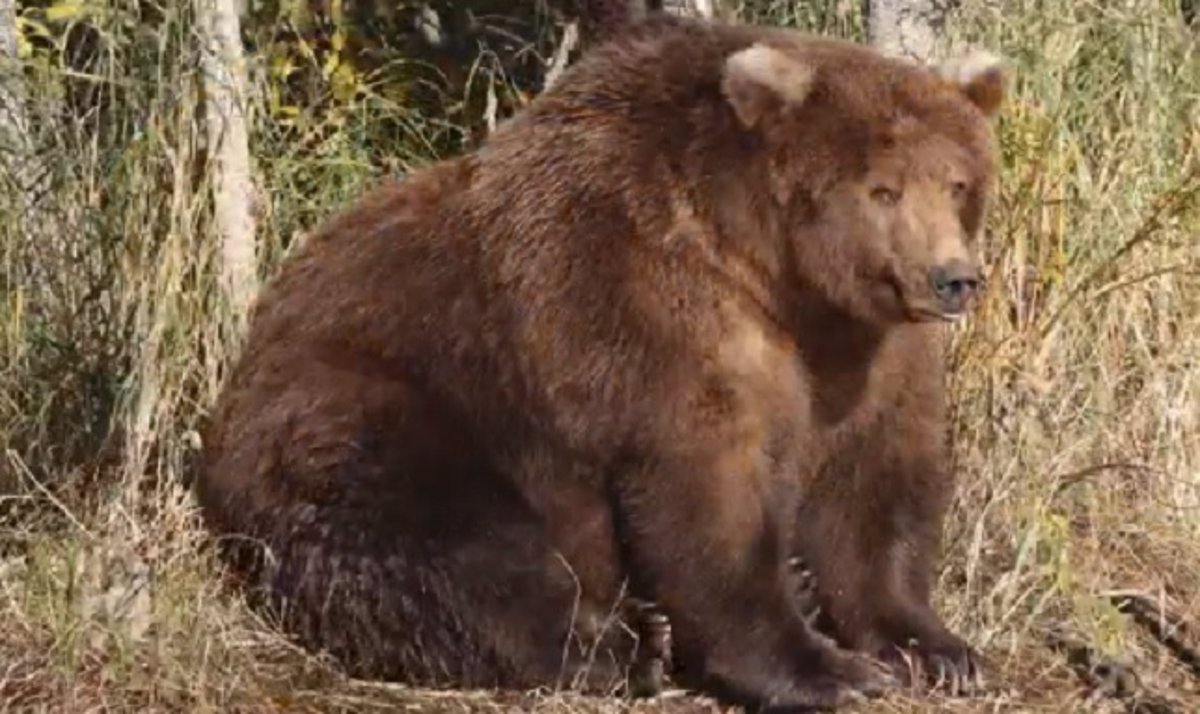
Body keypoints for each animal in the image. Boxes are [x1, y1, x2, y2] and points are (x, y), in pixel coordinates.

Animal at [194, 12, 1003, 714]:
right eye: (883, 188)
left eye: (957, 181)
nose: (952, 278)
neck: (777, 276)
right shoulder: (649, 310)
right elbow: (708, 494)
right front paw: (825, 668)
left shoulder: (866, 352)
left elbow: (873, 485)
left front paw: (935, 648)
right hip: (377, 404)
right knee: (448, 545)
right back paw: (626, 646)